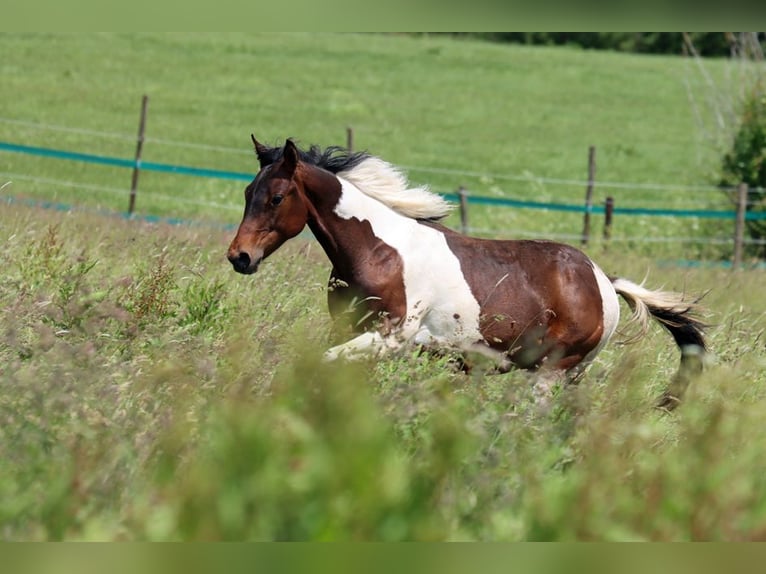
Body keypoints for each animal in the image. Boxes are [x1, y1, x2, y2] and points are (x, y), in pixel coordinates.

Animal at [227, 136, 706, 410]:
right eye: (249, 192)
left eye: (277, 197)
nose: (240, 257)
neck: (380, 251)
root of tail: (605, 281)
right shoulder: (348, 328)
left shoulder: (390, 336)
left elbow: (323, 364)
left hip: (552, 372)